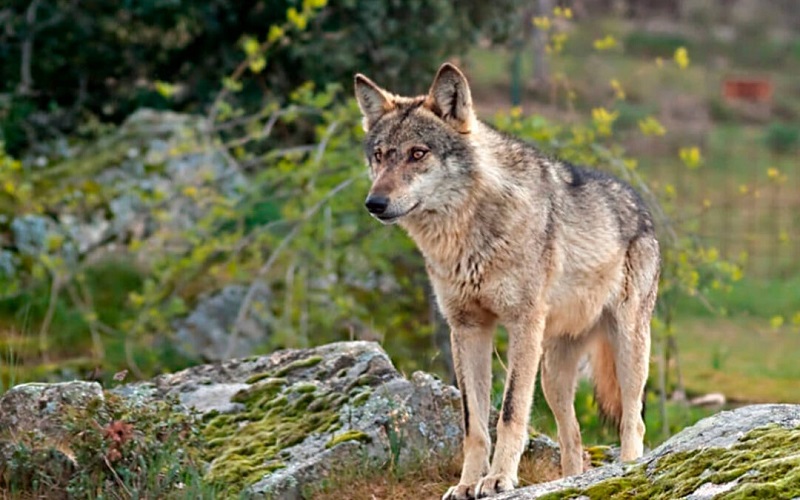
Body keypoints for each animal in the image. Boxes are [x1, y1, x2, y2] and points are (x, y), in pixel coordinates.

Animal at [354, 64, 660, 498]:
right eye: (379, 156)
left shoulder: (521, 324)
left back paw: (630, 470)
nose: (374, 203)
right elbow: (474, 424)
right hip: (551, 375)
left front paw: (498, 479)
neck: (467, 235)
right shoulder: (467, 329)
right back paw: (570, 481)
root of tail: (641, 207)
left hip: (626, 349)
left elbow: (511, 412)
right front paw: (467, 483)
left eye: (418, 153)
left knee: (634, 421)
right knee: (573, 439)